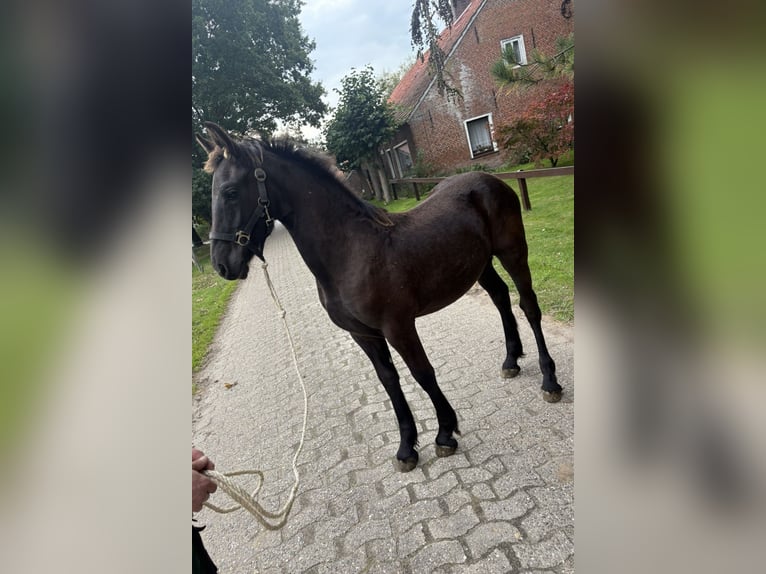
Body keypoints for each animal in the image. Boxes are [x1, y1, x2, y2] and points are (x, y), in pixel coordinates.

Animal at [197, 122, 562, 472]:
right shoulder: (364, 335)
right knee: (501, 299)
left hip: (513, 253)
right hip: (480, 265)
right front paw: (406, 448)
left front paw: (445, 433)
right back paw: (511, 360)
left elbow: (422, 373)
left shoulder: (398, 326)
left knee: (528, 306)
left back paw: (550, 381)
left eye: (230, 192)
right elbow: (389, 381)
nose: (222, 265)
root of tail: (490, 180)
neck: (350, 252)